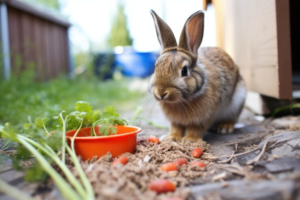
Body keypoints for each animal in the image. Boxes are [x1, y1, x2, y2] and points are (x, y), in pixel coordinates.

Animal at [149, 10, 246, 143]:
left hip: (238, 100)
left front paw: (190, 140)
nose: (161, 93)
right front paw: (171, 138)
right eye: (155, 67)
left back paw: (224, 127)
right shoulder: (175, 121)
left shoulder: (204, 117)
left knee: (232, 118)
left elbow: (196, 128)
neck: (182, 101)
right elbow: (176, 127)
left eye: (184, 71)